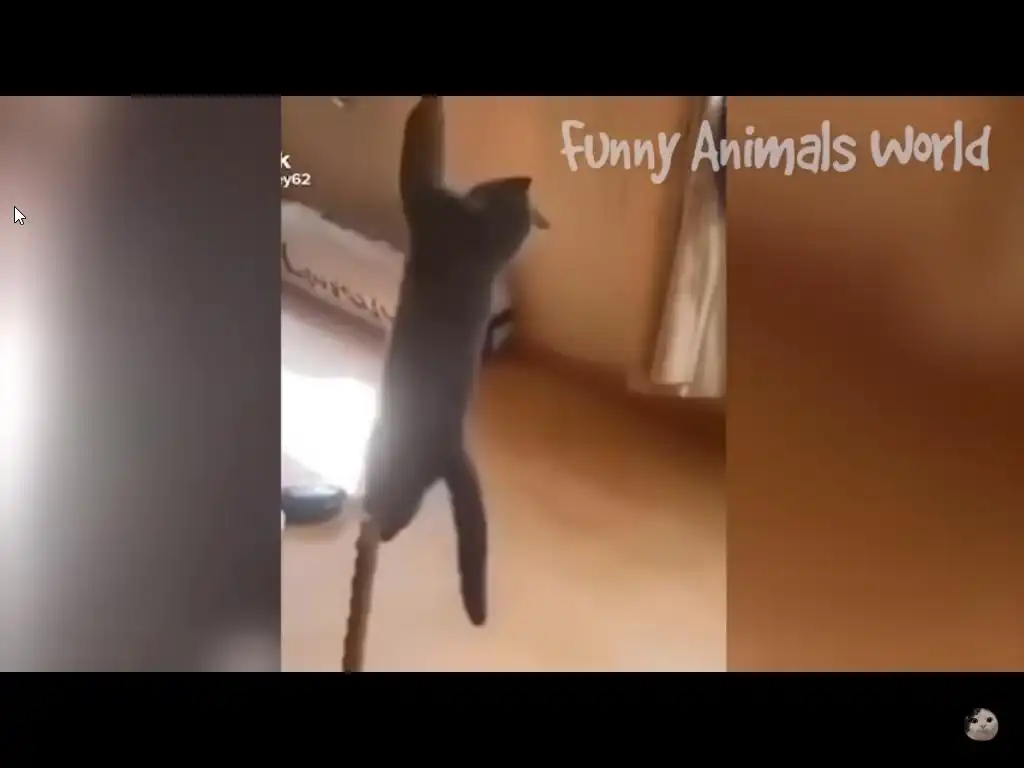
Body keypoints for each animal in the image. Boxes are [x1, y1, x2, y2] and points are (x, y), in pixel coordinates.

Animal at [360, 96, 547, 626]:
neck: (483, 242)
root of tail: (454, 447)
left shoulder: (427, 198)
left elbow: (419, 149)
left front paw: (427, 106)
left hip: (392, 455)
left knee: (397, 504)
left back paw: (378, 522)